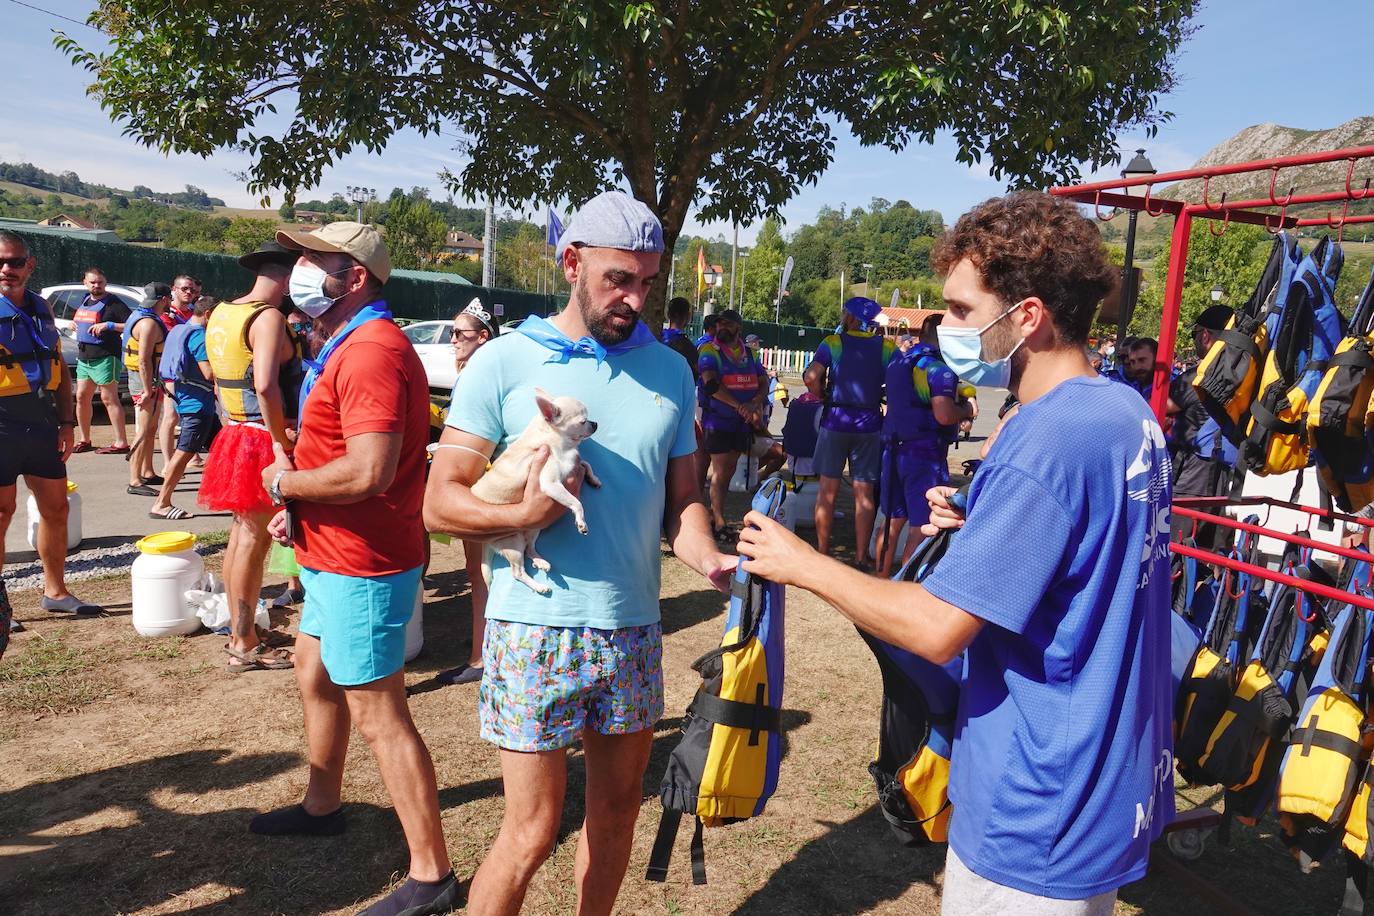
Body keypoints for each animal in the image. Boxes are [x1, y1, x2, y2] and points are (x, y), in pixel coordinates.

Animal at [472, 387, 601, 596]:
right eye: (583, 421)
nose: (595, 423)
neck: (557, 439)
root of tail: (485, 542)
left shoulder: (571, 465)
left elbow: (585, 463)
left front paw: (594, 479)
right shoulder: (550, 482)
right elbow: (576, 502)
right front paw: (581, 522)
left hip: (534, 529)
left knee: (529, 548)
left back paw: (541, 561)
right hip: (513, 541)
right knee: (518, 571)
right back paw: (539, 586)